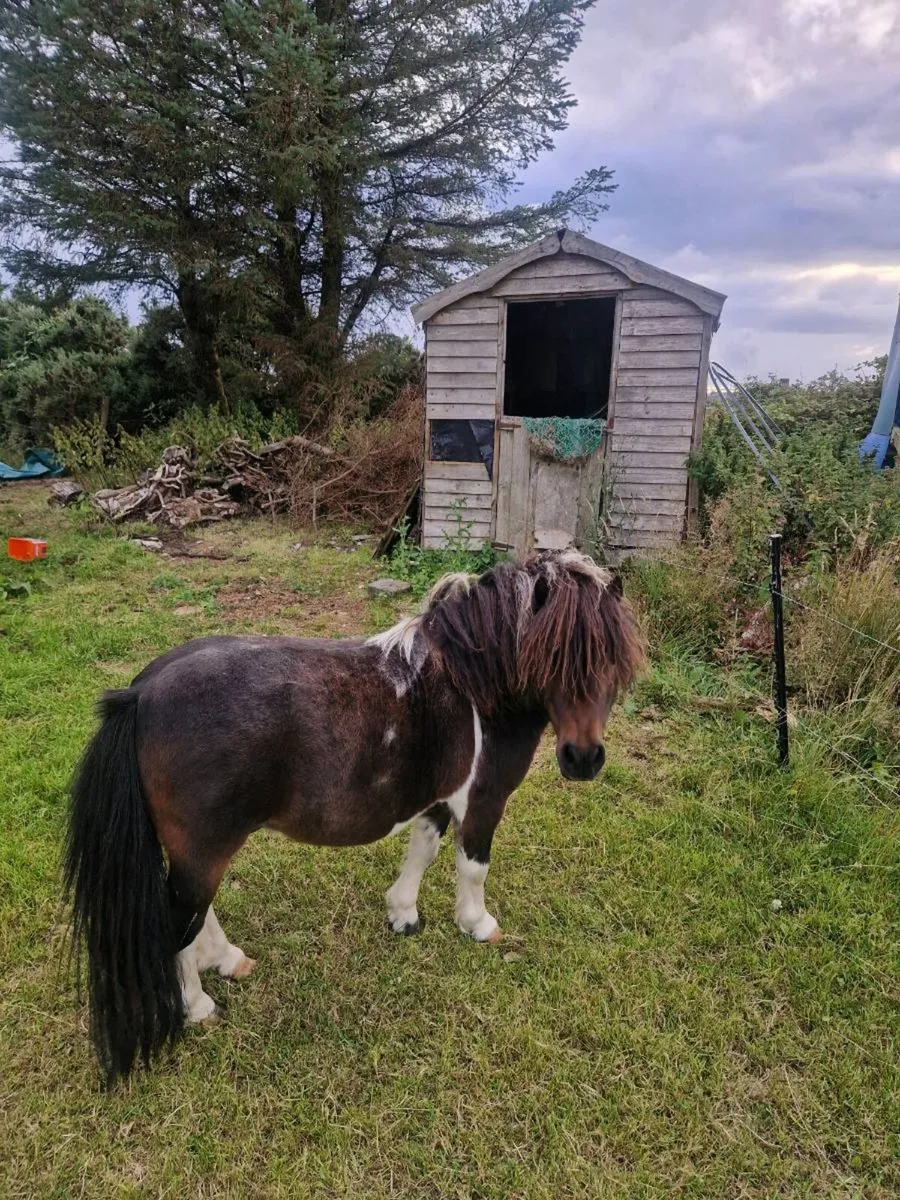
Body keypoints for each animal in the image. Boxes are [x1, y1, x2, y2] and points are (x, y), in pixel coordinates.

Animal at [65, 549, 645, 1085]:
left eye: (613, 660)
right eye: (556, 657)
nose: (584, 759)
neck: (472, 686)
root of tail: (139, 694)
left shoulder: (436, 800)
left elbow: (423, 851)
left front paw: (403, 914)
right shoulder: (483, 800)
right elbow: (473, 867)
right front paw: (477, 925)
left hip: (197, 850)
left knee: (193, 911)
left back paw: (228, 959)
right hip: (204, 847)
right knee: (178, 921)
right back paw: (198, 1004)